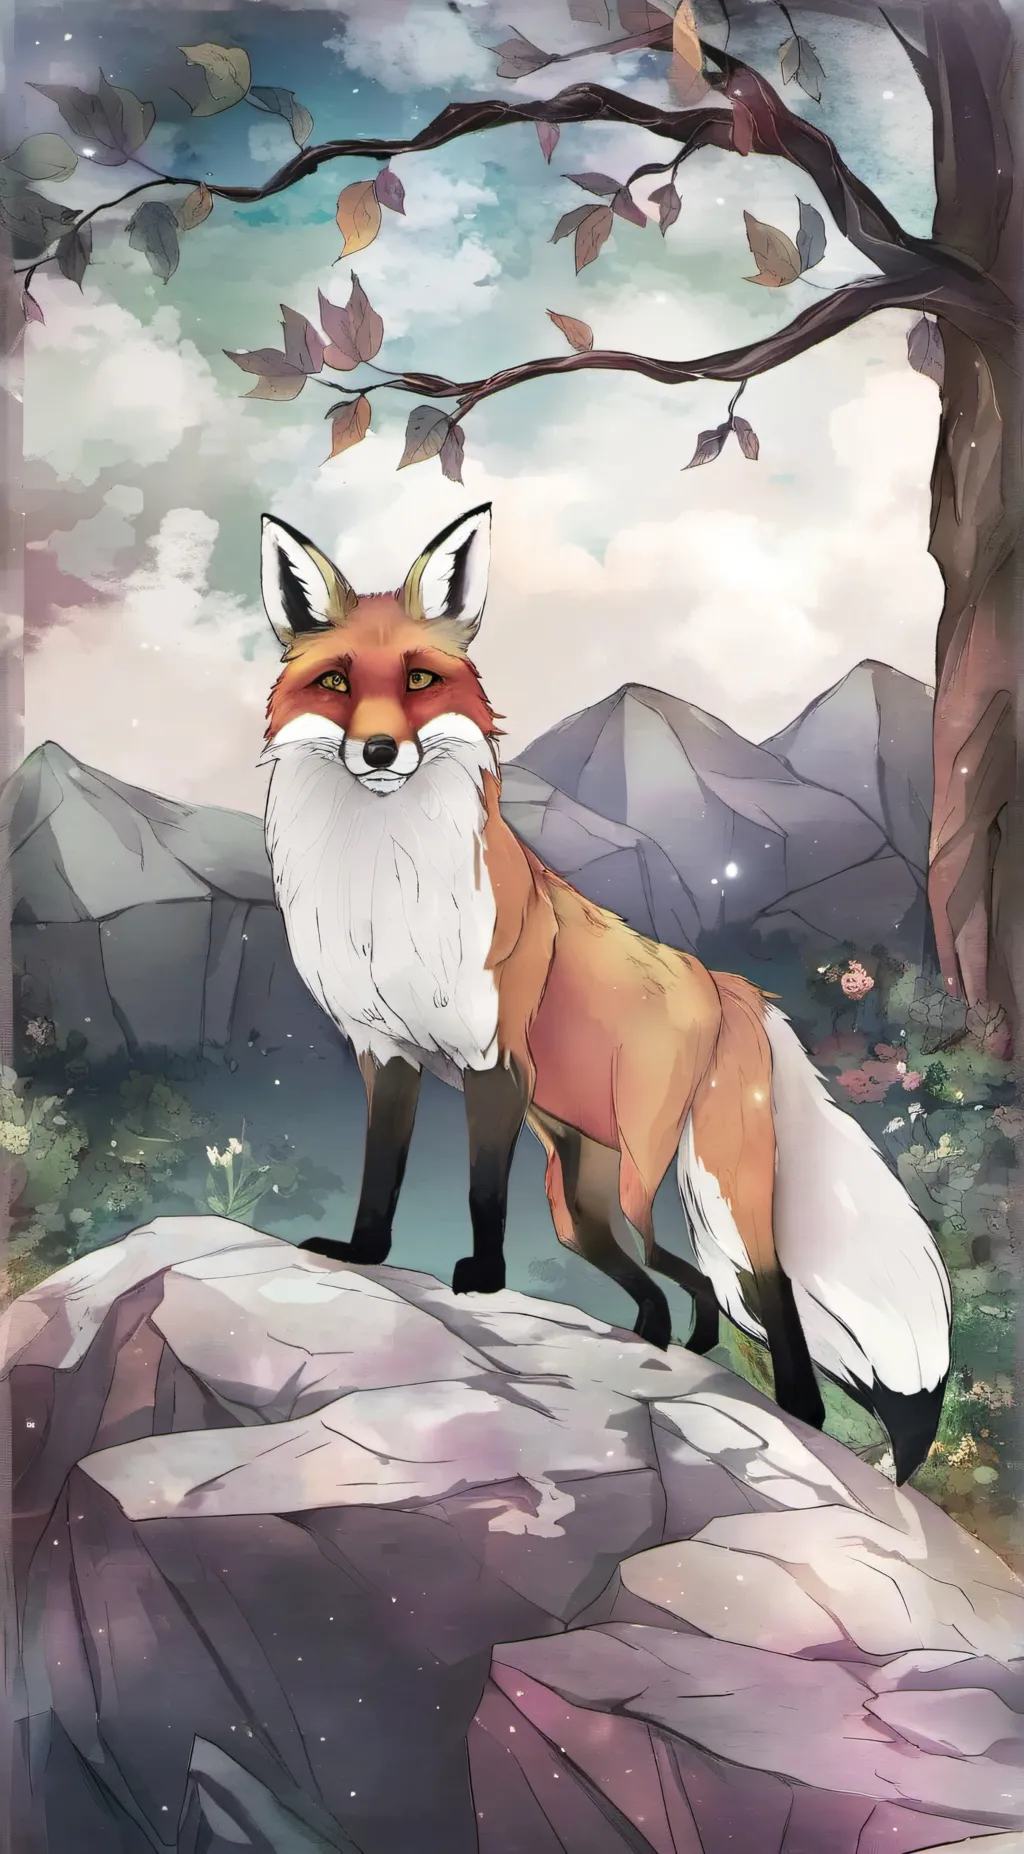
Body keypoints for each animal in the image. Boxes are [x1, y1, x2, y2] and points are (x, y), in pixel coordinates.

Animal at [258, 500, 952, 1484]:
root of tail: (729, 984)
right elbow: (379, 1176)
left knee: (758, 1284)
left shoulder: (490, 1062)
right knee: (657, 1275)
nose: (381, 750)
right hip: (577, 1189)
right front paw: (363, 1254)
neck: (383, 886)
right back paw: (662, 1341)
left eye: (422, 679)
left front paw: (483, 1279)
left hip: (678, 1173)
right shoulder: (386, 1054)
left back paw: (795, 1414)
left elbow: (479, 1194)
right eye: (337, 682)